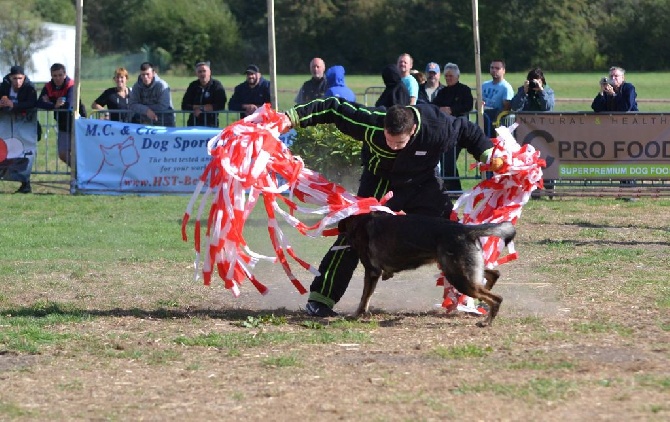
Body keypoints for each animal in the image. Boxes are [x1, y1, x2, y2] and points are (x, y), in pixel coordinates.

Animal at [338, 211, 516, 326]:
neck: (359, 222)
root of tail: (465, 230)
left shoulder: (371, 272)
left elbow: (364, 298)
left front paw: (357, 314)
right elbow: (366, 297)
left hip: (458, 278)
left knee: (497, 298)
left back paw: (486, 321)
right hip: (459, 271)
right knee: (493, 274)